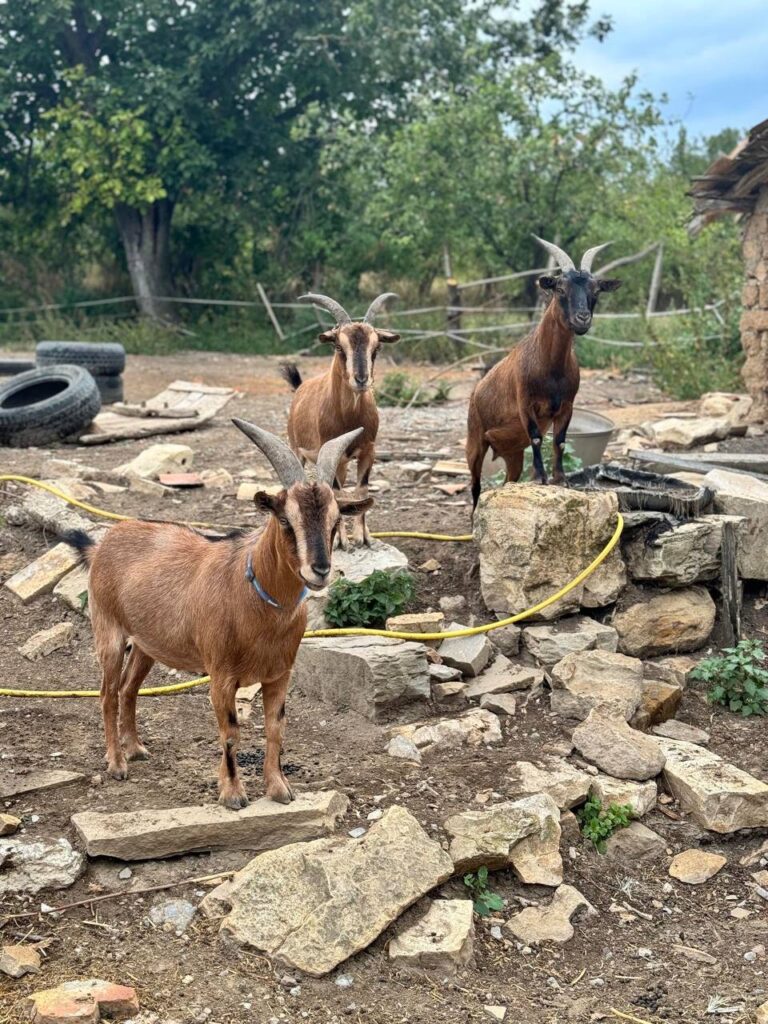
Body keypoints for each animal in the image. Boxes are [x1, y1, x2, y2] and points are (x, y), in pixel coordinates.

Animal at [64, 415, 370, 806]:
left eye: (334, 522)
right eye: (286, 520)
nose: (319, 570)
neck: (257, 603)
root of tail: (104, 542)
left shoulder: (279, 675)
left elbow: (276, 728)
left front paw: (279, 788)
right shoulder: (221, 675)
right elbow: (230, 732)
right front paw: (233, 793)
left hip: (148, 645)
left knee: (128, 689)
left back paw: (135, 749)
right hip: (109, 632)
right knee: (107, 694)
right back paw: (117, 764)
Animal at [466, 234, 622, 503]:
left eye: (596, 290)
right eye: (560, 288)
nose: (582, 319)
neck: (551, 369)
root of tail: (476, 391)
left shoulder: (566, 406)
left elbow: (559, 441)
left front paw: (561, 480)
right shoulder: (526, 404)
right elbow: (538, 438)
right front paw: (540, 478)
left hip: (514, 453)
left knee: (509, 479)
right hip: (475, 442)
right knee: (475, 489)